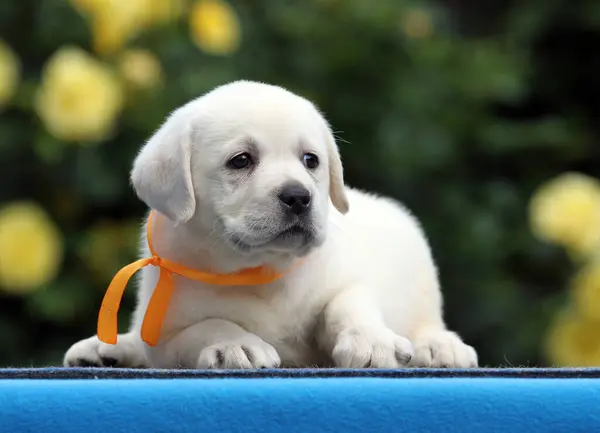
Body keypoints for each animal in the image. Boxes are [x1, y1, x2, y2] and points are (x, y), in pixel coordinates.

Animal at [63, 80, 478, 368]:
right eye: (241, 160)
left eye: (311, 160)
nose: (298, 196)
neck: (258, 270)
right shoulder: (165, 336)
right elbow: (208, 325)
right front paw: (235, 344)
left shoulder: (342, 277)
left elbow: (347, 303)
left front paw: (372, 341)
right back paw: (105, 348)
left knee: (427, 323)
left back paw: (439, 346)